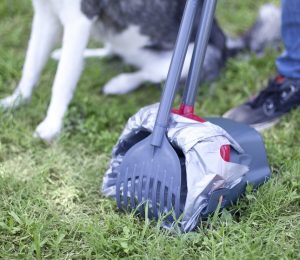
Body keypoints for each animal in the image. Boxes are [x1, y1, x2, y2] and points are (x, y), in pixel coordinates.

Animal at [0, 0, 282, 142]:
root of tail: (227, 46)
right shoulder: (45, 13)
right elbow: (31, 63)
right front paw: (16, 101)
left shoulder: (79, 18)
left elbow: (61, 80)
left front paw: (51, 124)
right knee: (111, 51)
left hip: (187, 57)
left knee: (149, 74)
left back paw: (120, 83)